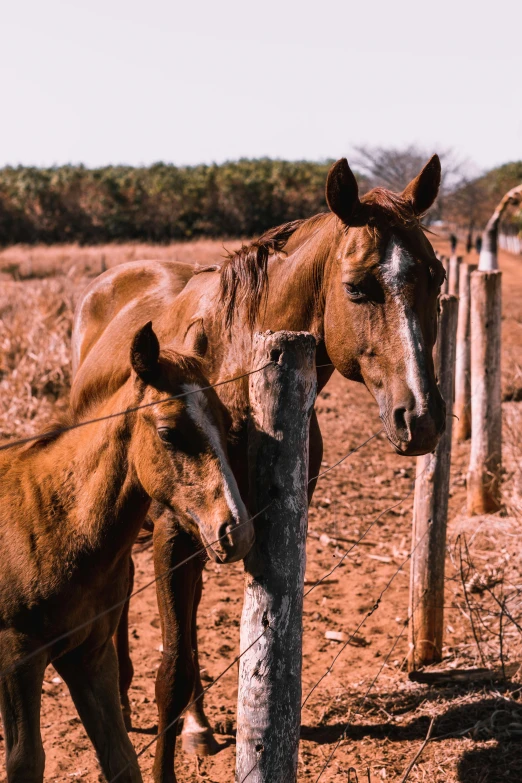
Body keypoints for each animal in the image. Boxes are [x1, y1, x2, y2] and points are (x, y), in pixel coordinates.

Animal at [0, 322, 252, 780]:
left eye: (227, 423)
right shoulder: (17, 661)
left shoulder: (90, 655)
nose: (236, 531)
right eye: (169, 432)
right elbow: (26, 762)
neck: (51, 517)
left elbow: (120, 757)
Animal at [68, 156, 442, 780]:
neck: (231, 362)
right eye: (357, 288)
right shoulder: (173, 531)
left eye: (436, 278)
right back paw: (123, 694)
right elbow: (171, 670)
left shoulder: (247, 523)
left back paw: (195, 724)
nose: (421, 416)